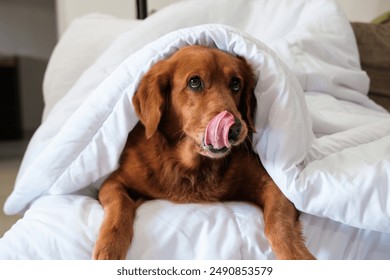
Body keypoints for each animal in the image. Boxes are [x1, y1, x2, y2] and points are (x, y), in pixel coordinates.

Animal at [93, 44, 316, 260]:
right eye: (194, 82)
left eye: (236, 83)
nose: (235, 129)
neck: (190, 167)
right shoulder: (112, 182)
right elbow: (120, 205)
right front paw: (109, 247)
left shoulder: (275, 186)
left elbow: (277, 224)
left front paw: (297, 255)